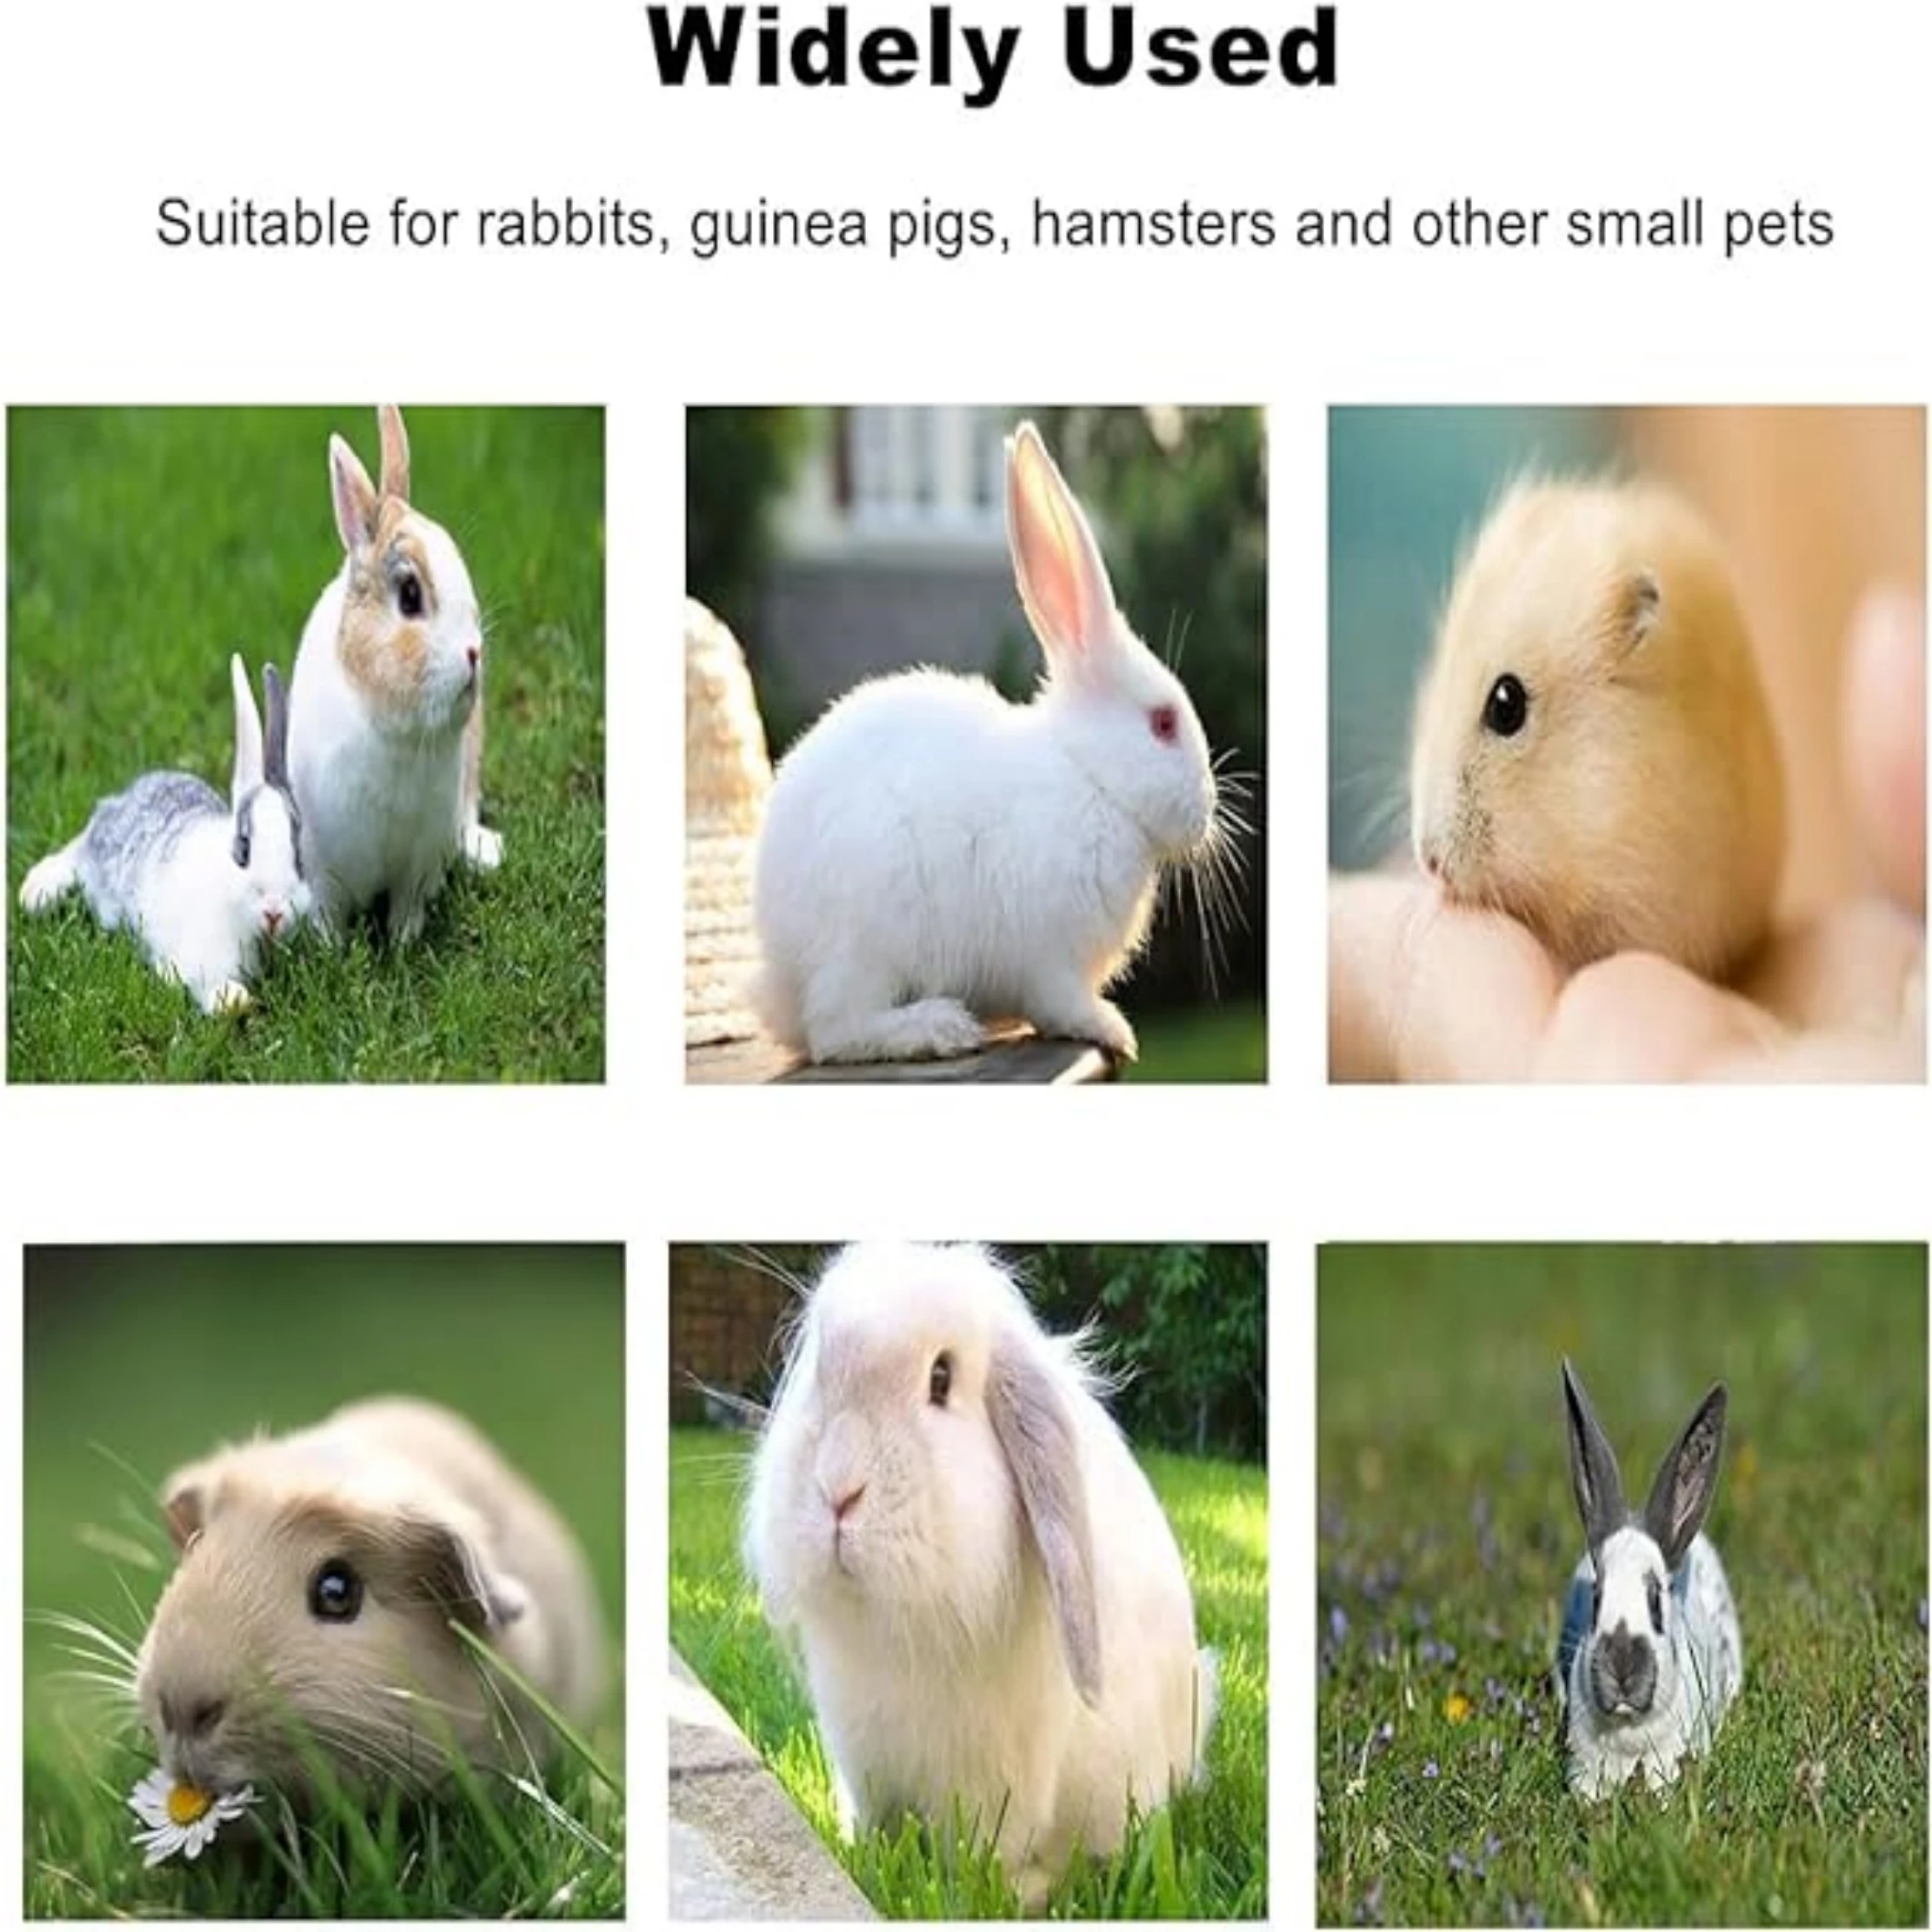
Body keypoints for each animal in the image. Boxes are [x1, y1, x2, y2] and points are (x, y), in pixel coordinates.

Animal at [18, 654, 308, 1014]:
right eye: (243, 849)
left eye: (299, 858)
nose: (274, 911)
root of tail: (119, 800)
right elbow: (204, 982)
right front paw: (235, 1000)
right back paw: (36, 893)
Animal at [287, 404, 502, 944]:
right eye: (409, 595)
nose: (474, 653)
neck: (397, 729)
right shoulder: (324, 865)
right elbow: (329, 915)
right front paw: (333, 950)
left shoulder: (420, 862)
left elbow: (409, 909)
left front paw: (404, 944)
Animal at [742, 1242, 1218, 1907]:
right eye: (820, 1369)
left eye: (941, 1380)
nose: (838, 1489)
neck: (897, 1627)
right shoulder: (862, 1758)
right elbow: (875, 1824)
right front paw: (864, 1854)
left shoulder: (999, 1779)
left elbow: (986, 1853)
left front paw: (987, 1894)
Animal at [749, 420, 1238, 1065]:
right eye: (1162, 724)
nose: (1206, 813)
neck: (1089, 778)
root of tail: (778, 969)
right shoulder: (1051, 960)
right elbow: (1062, 1003)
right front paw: (1114, 1029)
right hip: (870, 931)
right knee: (838, 1030)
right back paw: (940, 1027)